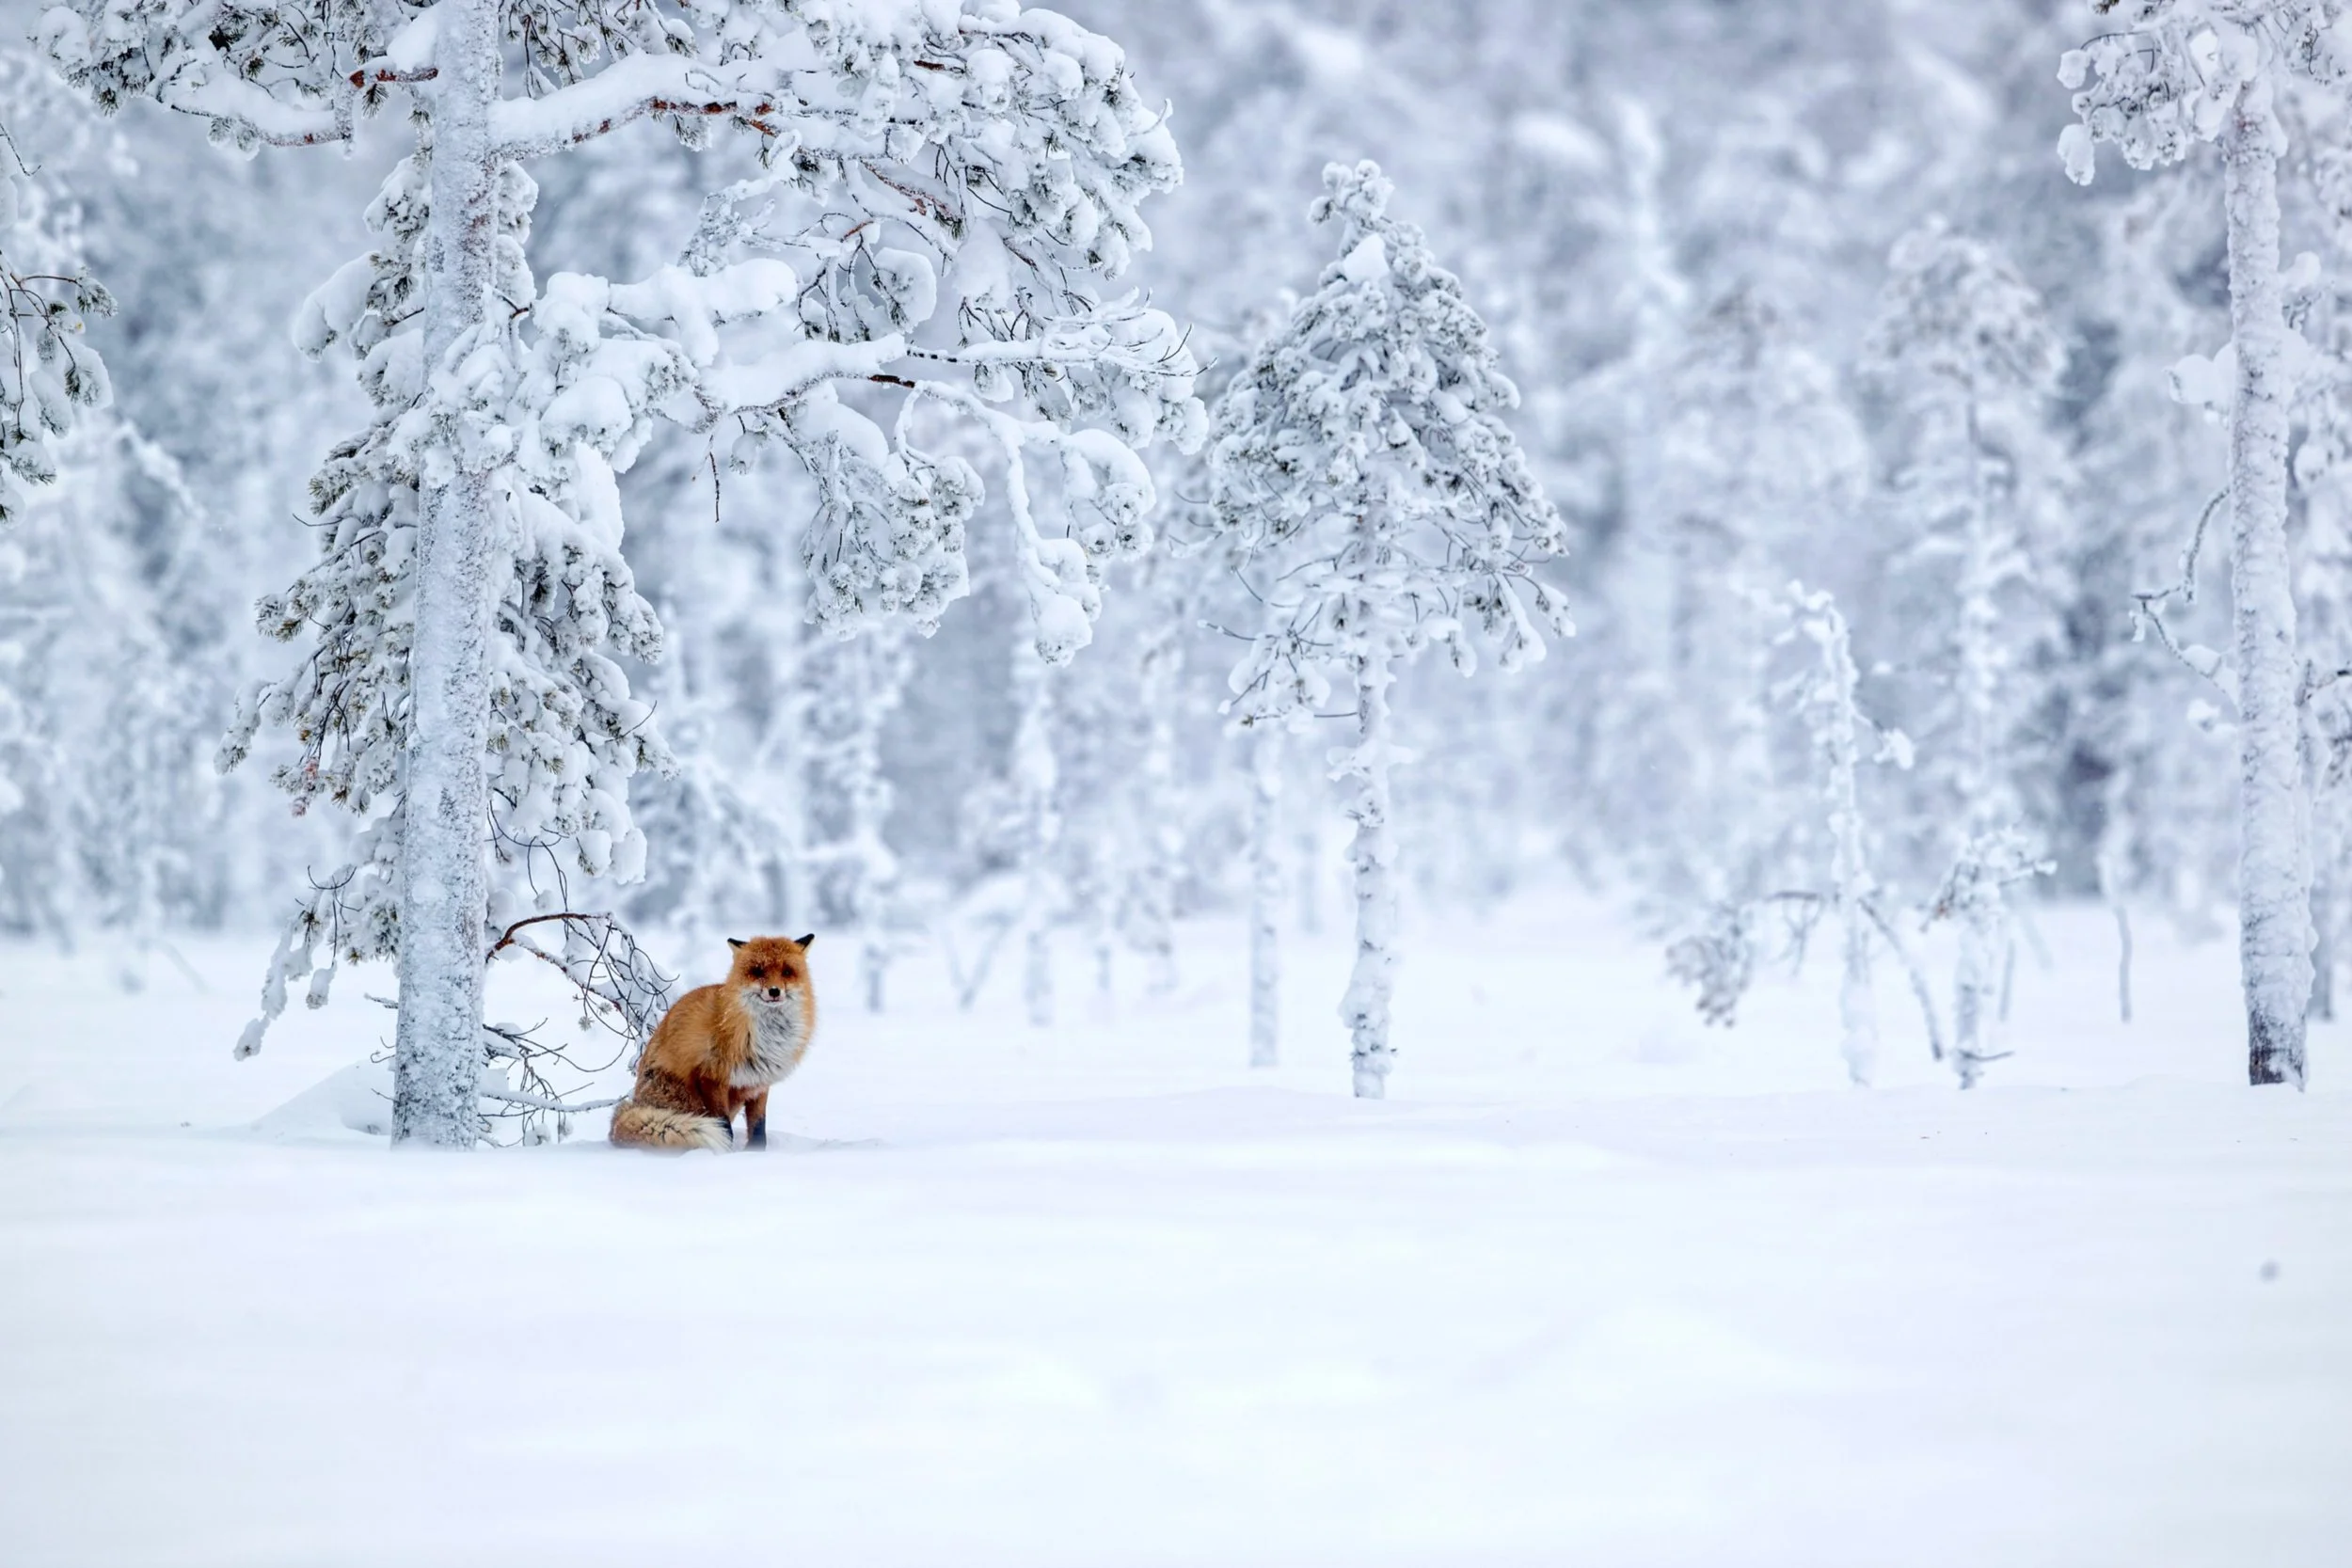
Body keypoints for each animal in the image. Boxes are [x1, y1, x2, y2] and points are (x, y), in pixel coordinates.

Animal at [608, 934, 818, 1153]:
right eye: (758, 971)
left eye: (787, 972)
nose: (775, 991)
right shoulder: (710, 1077)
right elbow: (723, 1125)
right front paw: (725, 1153)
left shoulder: (758, 1082)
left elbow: (759, 1127)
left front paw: (755, 1153)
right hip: (686, 1098)